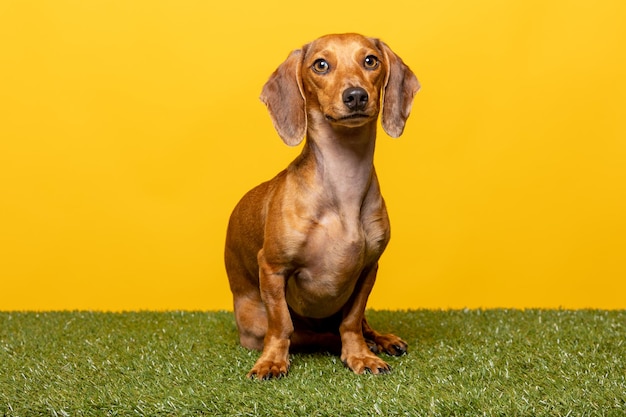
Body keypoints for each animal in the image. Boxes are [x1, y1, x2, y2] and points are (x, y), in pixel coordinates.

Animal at [224, 33, 420, 376]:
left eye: (370, 60)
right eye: (321, 65)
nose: (356, 96)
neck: (343, 187)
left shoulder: (368, 269)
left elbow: (352, 322)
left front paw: (360, 355)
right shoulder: (272, 268)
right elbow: (282, 325)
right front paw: (272, 361)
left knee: (356, 326)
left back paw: (380, 340)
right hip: (254, 322)